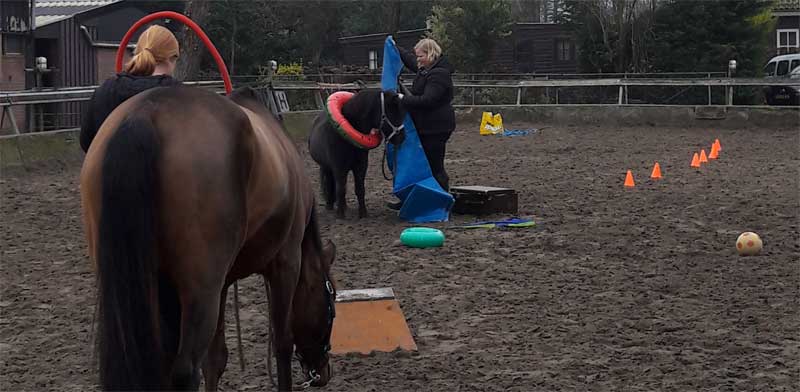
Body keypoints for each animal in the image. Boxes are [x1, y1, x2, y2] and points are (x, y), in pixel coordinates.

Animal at [83, 86, 338, 392]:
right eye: (332, 306)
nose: (323, 373)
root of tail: (145, 112)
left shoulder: (223, 283)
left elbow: (216, 358)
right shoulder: (286, 263)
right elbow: (282, 342)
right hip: (200, 292)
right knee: (185, 371)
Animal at [308, 89, 406, 219]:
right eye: (392, 112)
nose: (402, 138)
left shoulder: (361, 166)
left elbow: (360, 189)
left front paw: (363, 213)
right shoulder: (339, 167)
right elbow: (341, 189)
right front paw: (340, 215)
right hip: (326, 167)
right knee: (329, 183)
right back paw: (330, 206)